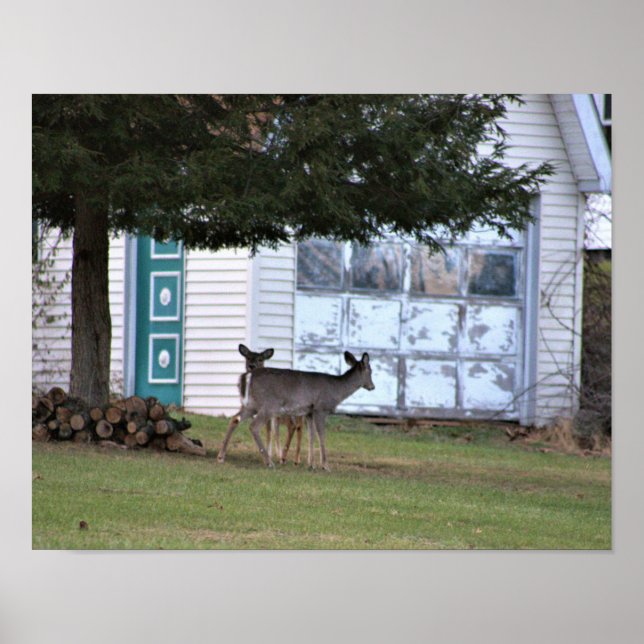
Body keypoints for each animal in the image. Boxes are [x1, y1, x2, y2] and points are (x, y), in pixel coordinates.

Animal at [216, 351, 375, 470]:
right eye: (370, 371)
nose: (372, 386)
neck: (336, 390)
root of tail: (247, 376)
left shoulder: (309, 412)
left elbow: (311, 435)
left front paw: (311, 465)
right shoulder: (320, 408)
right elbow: (321, 435)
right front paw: (325, 465)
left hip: (251, 405)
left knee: (234, 419)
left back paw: (221, 457)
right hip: (269, 405)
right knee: (254, 426)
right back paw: (269, 462)